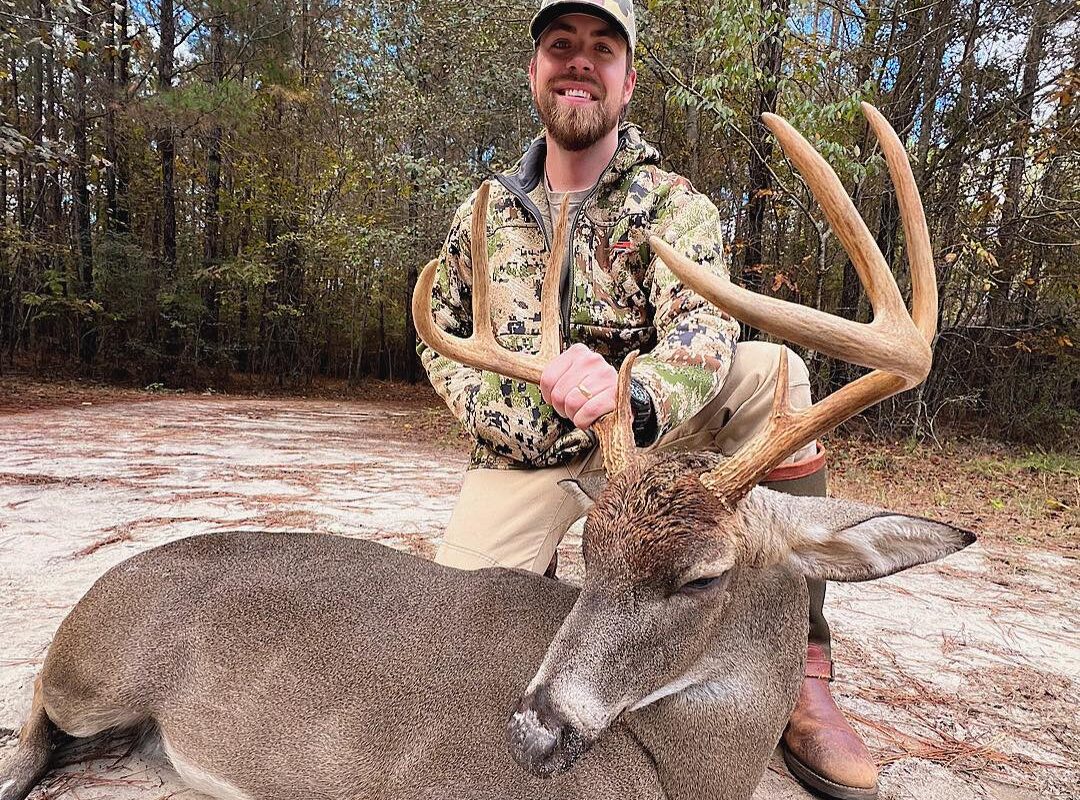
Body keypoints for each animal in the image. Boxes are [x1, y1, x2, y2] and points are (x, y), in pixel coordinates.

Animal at [0, 103, 973, 800]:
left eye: (703, 578)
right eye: (591, 554)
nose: (533, 731)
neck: (674, 770)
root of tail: (97, 589)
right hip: (94, 672)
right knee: (34, 721)